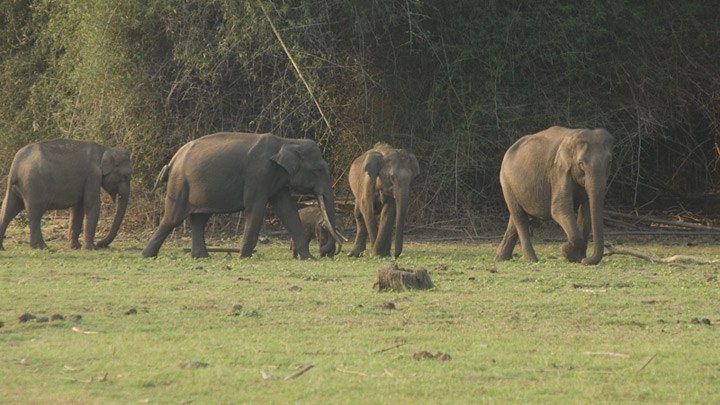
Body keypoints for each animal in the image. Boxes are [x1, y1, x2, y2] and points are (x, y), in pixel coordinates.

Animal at [0, 139, 131, 249]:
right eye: (125, 176)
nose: (100, 243)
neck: (104, 149)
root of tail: (16, 163)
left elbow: (77, 209)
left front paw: (75, 247)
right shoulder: (92, 176)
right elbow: (92, 205)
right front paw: (90, 248)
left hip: (18, 187)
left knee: (8, 210)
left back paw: (3, 248)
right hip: (34, 185)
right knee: (35, 214)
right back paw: (42, 247)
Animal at [143, 133, 346, 258]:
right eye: (317, 170)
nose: (325, 253)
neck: (286, 141)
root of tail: (172, 160)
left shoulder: (276, 179)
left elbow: (287, 210)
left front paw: (310, 259)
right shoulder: (258, 174)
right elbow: (255, 209)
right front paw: (244, 257)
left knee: (199, 219)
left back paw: (202, 257)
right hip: (180, 184)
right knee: (173, 218)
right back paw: (147, 255)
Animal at [496, 126, 612, 266]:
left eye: (609, 162)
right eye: (581, 164)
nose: (586, 260)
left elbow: (586, 211)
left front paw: (577, 258)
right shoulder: (559, 171)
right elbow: (559, 209)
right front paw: (567, 252)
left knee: (518, 218)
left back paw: (500, 259)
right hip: (507, 183)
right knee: (520, 218)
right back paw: (531, 260)